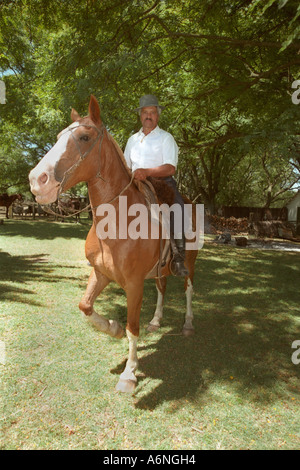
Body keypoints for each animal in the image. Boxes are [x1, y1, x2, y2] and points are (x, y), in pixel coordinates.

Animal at [28, 93, 199, 392]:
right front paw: (113, 328)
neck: (118, 221)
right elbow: (85, 306)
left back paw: (187, 324)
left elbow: (133, 327)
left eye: (84, 137)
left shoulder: (133, 284)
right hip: (159, 269)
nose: (38, 180)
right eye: (60, 136)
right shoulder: (100, 273)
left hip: (188, 262)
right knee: (162, 287)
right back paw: (156, 321)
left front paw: (129, 373)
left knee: (188, 289)